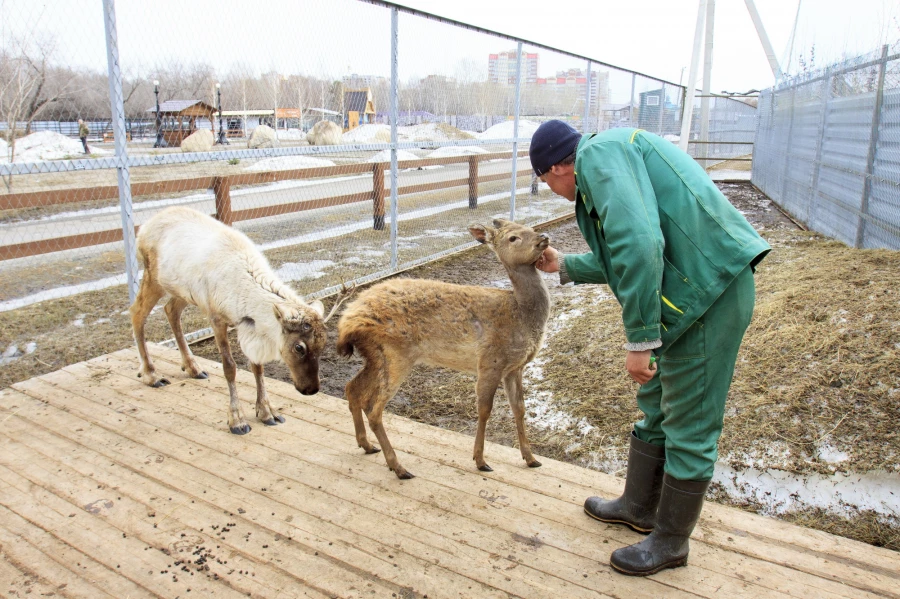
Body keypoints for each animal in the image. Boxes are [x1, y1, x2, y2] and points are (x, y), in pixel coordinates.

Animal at [338, 218, 548, 480]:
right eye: (513, 237)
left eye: (529, 228)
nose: (543, 237)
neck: (520, 314)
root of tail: (347, 322)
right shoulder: (490, 360)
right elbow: (484, 409)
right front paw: (480, 461)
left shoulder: (515, 367)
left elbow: (519, 408)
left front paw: (531, 458)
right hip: (396, 353)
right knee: (374, 409)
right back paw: (399, 467)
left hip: (376, 356)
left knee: (352, 388)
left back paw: (367, 445)